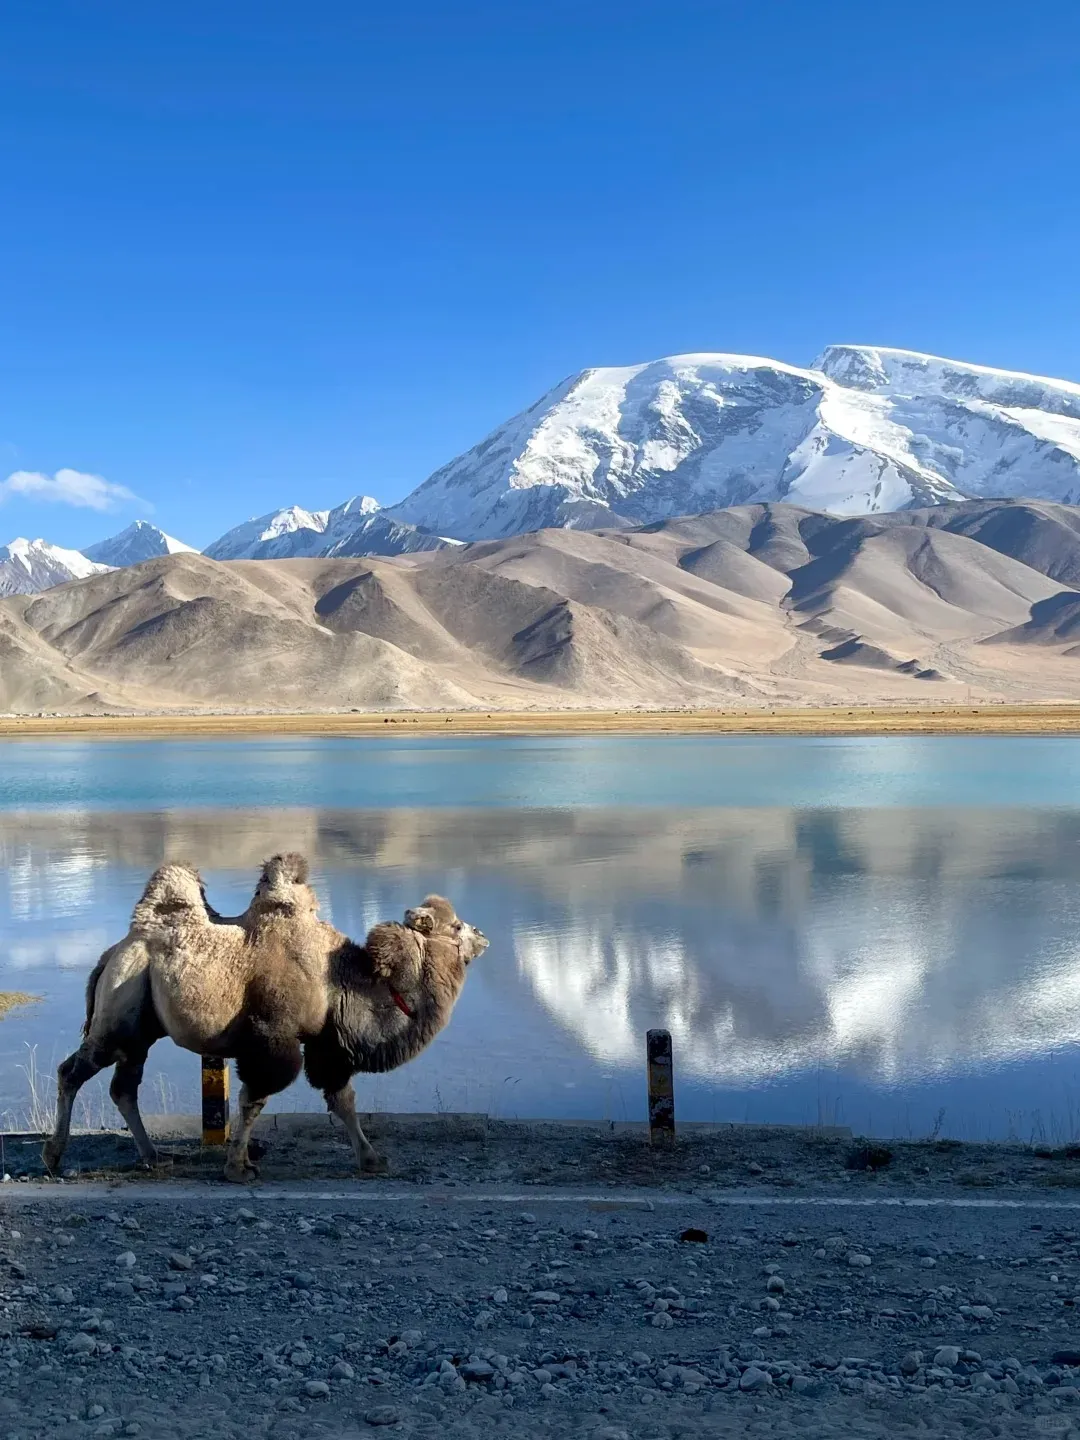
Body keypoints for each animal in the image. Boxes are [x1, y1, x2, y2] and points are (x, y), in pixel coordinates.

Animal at [42, 854, 489, 1182]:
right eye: (456, 925)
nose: (483, 936)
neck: (341, 983)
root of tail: (113, 953)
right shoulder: (275, 1036)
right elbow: (255, 1098)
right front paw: (238, 1168)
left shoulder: (325, 1043)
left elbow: (341, 1099)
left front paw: (372, 1159)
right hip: (118, 1015)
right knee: (73, 1071)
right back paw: (54, 1156)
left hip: (141, 1029)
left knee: (124, 1087)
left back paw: (154, 1156)